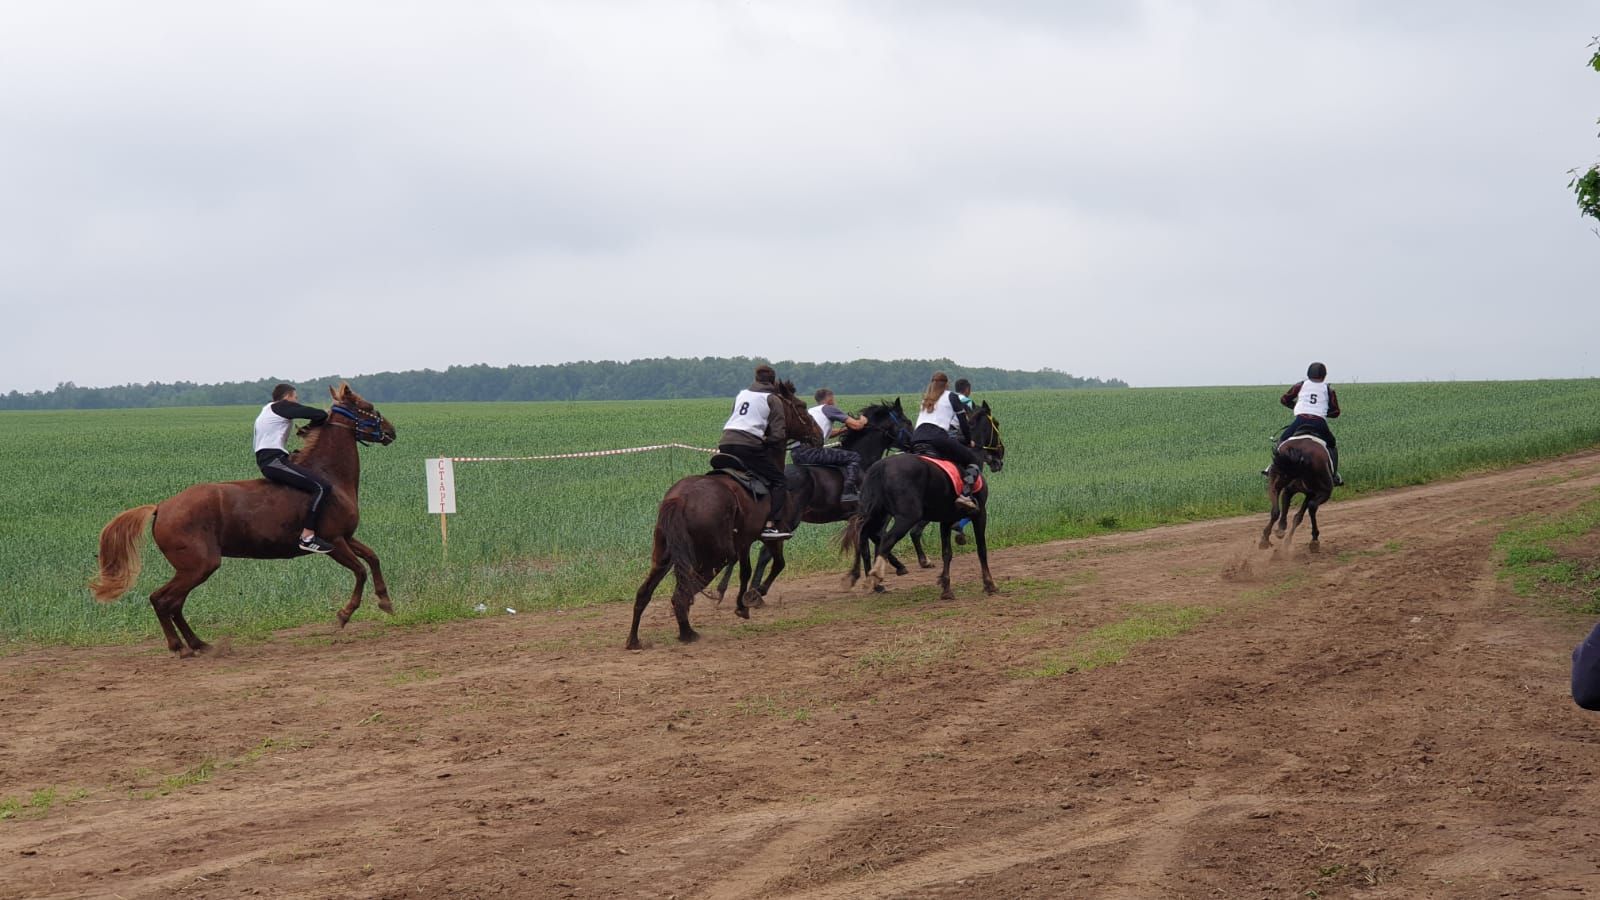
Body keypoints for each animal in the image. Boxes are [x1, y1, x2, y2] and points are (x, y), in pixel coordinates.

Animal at [90, 381, 396, 656]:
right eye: (368, 407)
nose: (391, 431)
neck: (330, 475)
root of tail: (162, 507)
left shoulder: (347, 537)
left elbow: (373, 558)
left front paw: (385, 601)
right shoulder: (333, 542)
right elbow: (360, 571)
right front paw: (344, 614)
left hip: (193, 569)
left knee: (172, 603)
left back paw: (198, 644)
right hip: (199, 566)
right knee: (163, 600)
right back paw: (180, 646)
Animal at [624, 376, 819, 643]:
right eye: (800, 406)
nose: (818, 434)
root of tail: (680, 499)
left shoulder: (744, 542)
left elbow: (746, 571)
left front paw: (743, 603)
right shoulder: (768, 538)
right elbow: (773, 565)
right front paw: (750, 599)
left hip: (664, 555)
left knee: (645, 593)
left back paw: (634, 640)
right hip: (712, 557)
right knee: (682, 594)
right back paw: (687, 633)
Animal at [844, 403, 1004, 598]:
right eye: (996, 423)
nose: (1000, 455)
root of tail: (880, 467)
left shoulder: (946, 519)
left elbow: (946, 553)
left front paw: (946, 588)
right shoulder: (980, 513)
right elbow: (981, 549)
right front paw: (989, 584)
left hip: (877, 514)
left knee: (862, 535)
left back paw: (856, 575)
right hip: (907, 517)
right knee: (885, 539)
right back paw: (876, 576)